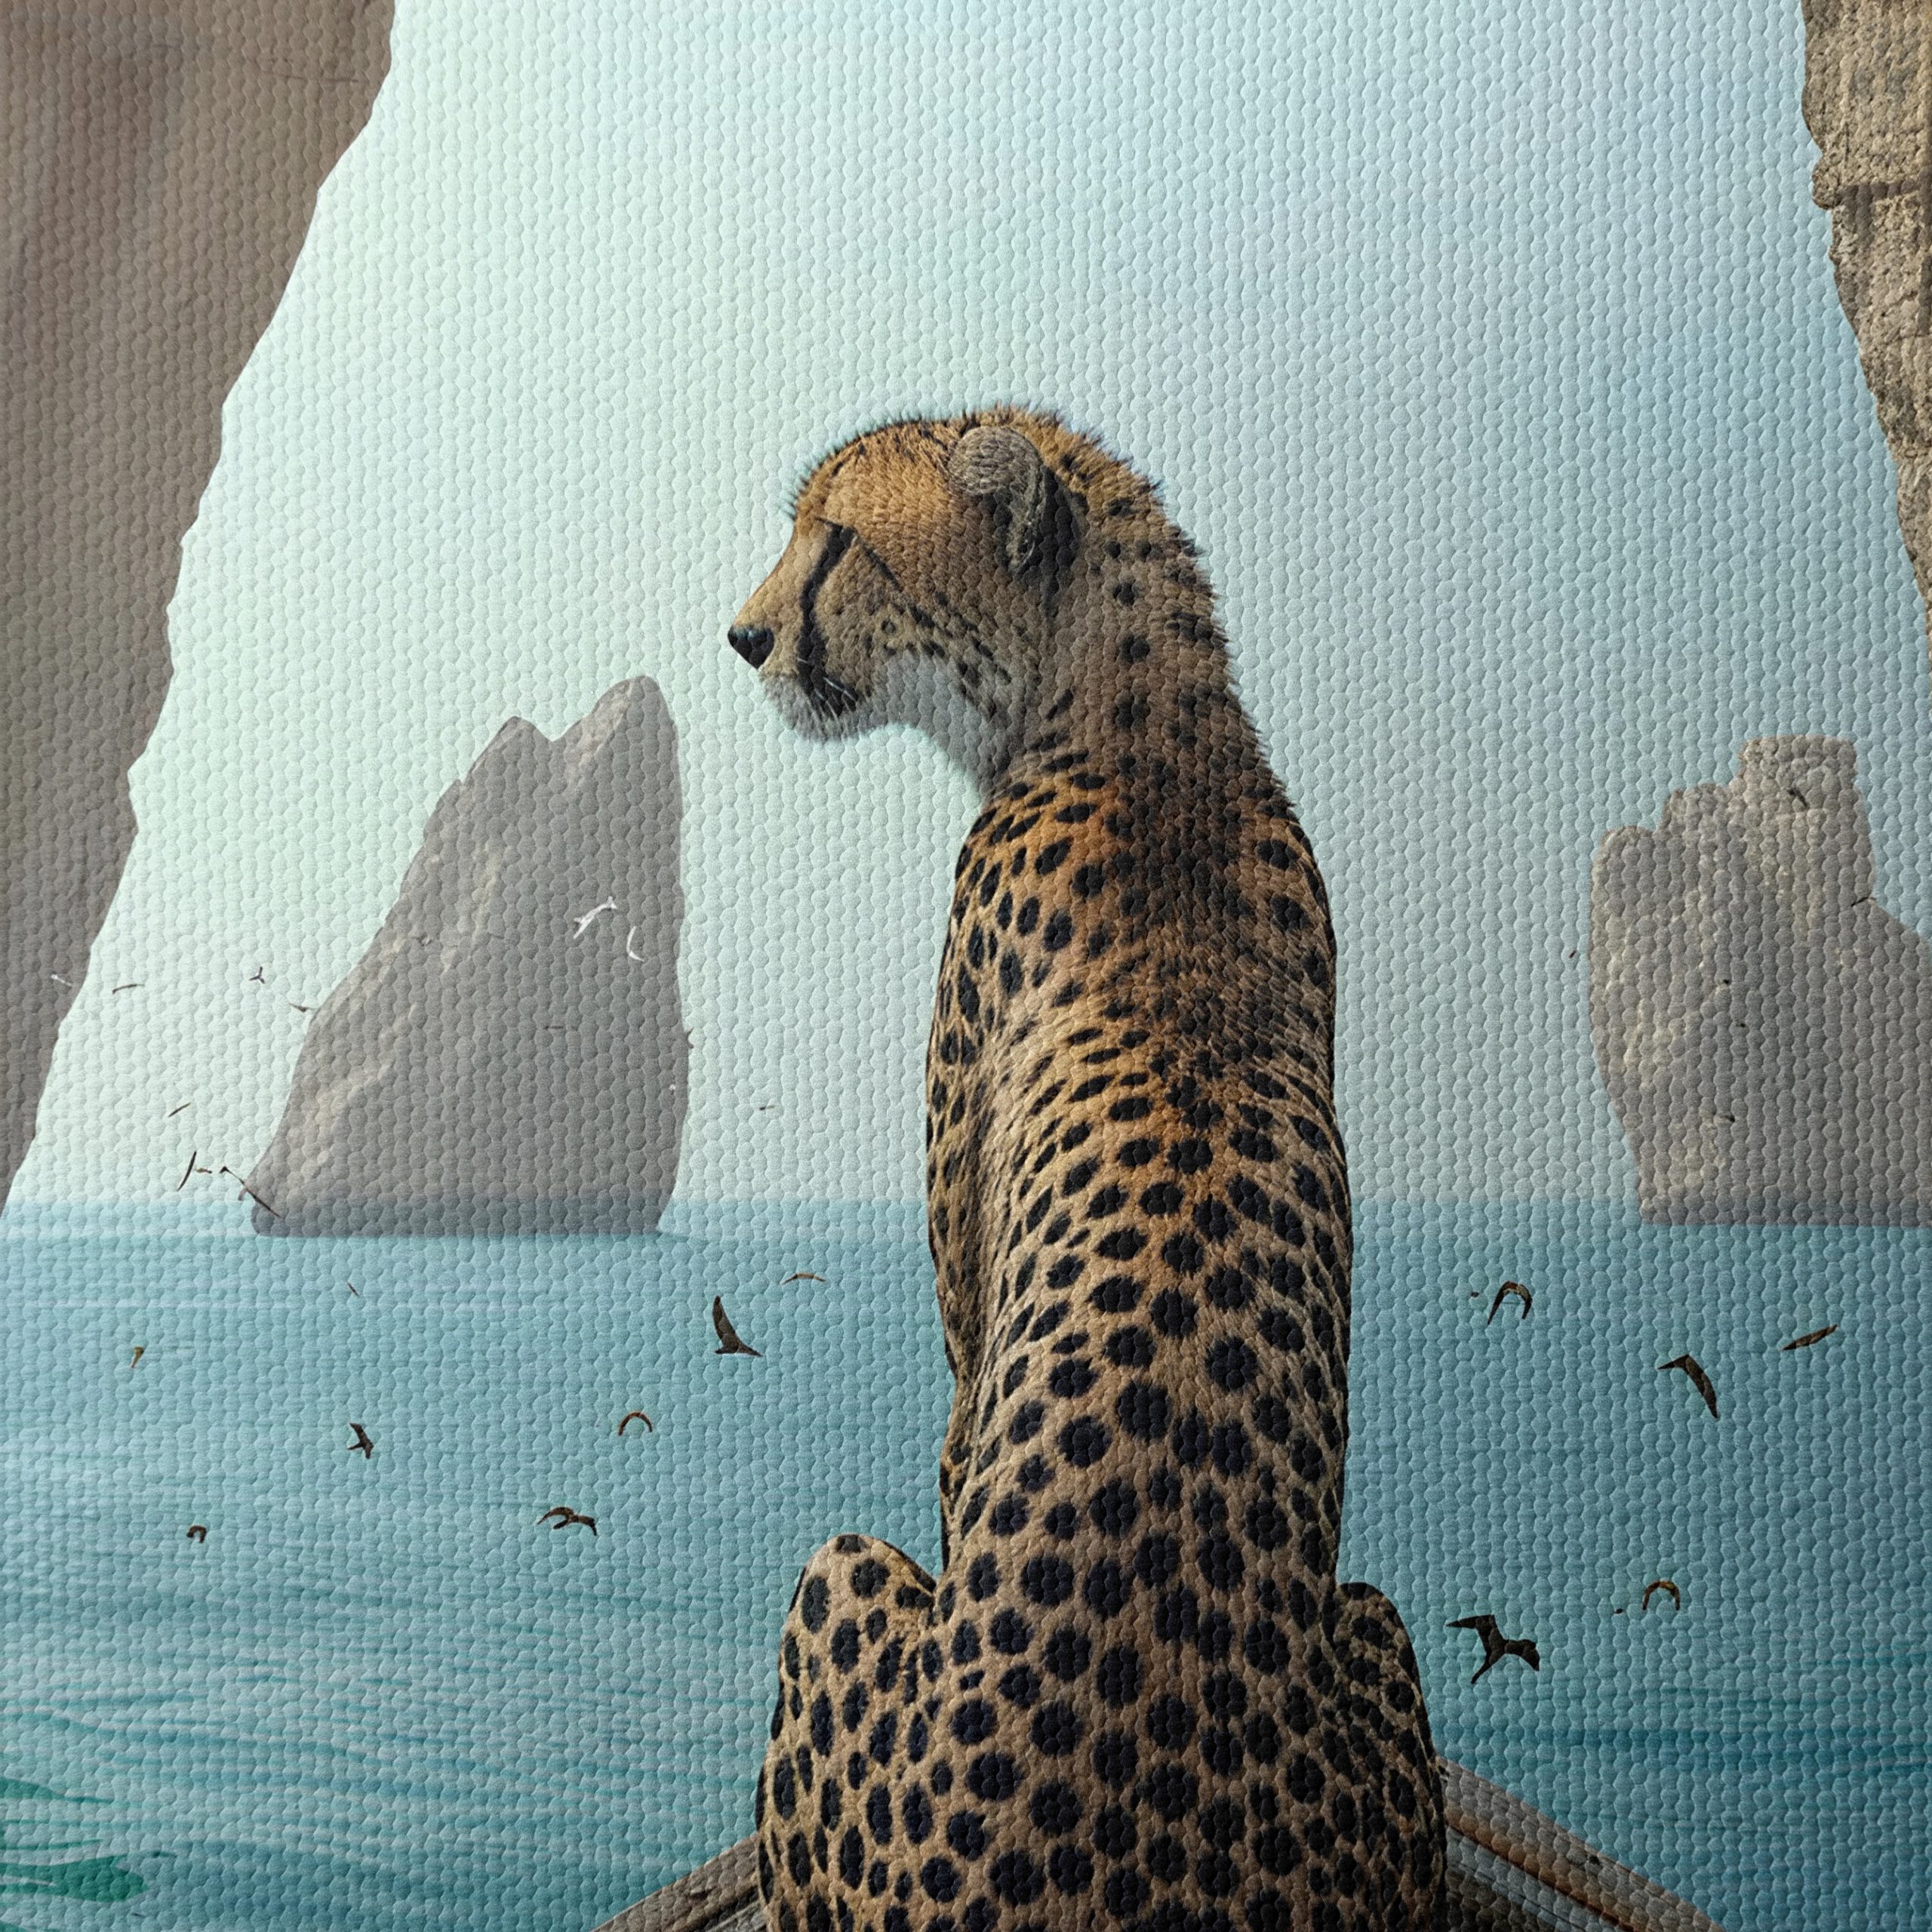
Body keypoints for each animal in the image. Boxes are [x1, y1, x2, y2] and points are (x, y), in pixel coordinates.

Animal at [727, 410, 1446, 1932]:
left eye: (841, 540)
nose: (744, 637)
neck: (1145, 721)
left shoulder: (964, 1346)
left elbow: (950, 1446)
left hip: (846, 1578)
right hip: (1373, 1620)